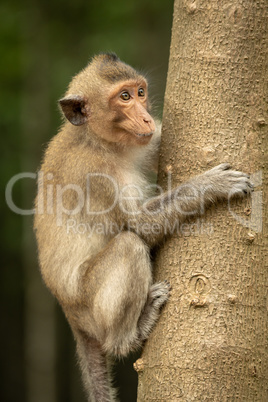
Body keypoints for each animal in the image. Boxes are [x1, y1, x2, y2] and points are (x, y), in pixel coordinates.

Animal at [34, 51, 253, 400]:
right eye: (123, 98)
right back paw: (129, 336)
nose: (147, 119)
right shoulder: (96, 176)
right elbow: (140, 227)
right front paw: (211, 184)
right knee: (128, 245)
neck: (97, 139)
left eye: (139, 92)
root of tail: (72, 317)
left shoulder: (143, 142)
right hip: (90, 308)